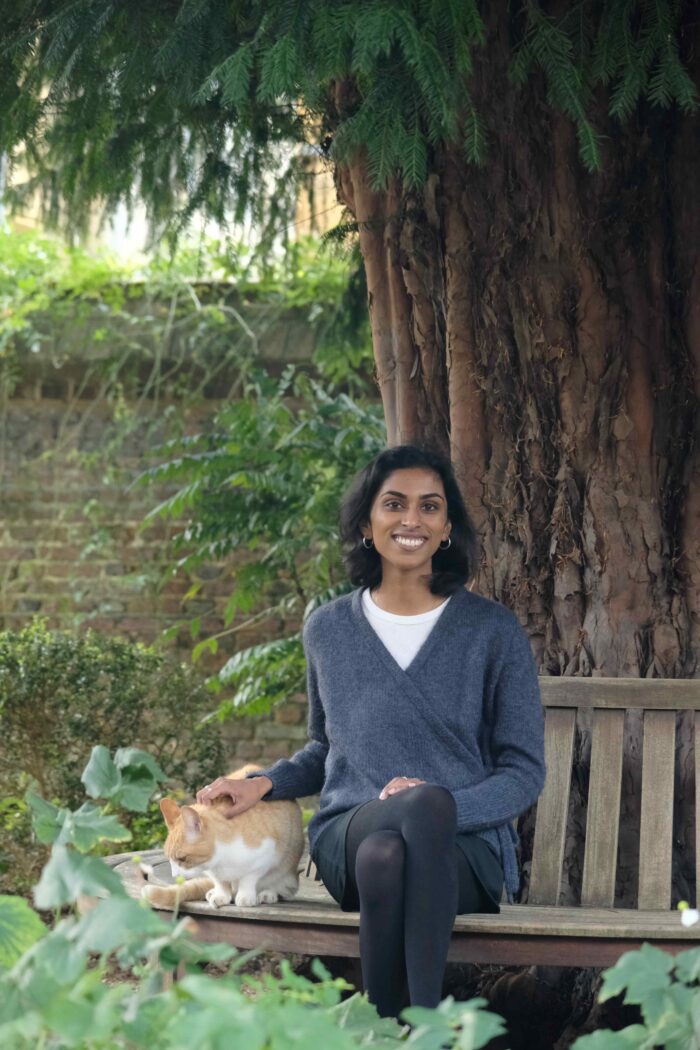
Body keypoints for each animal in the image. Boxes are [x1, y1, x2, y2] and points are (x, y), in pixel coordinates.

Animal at [142, 764, 304, 911]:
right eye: (169, 858)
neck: (220, 860)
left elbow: (249, 878)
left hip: (287, 869)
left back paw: (267, 893)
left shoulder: (265, 856)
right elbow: (221, 883)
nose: (174, 875)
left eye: (182, 858)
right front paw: (221, 895)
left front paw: (245, 896)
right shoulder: (213, 872)